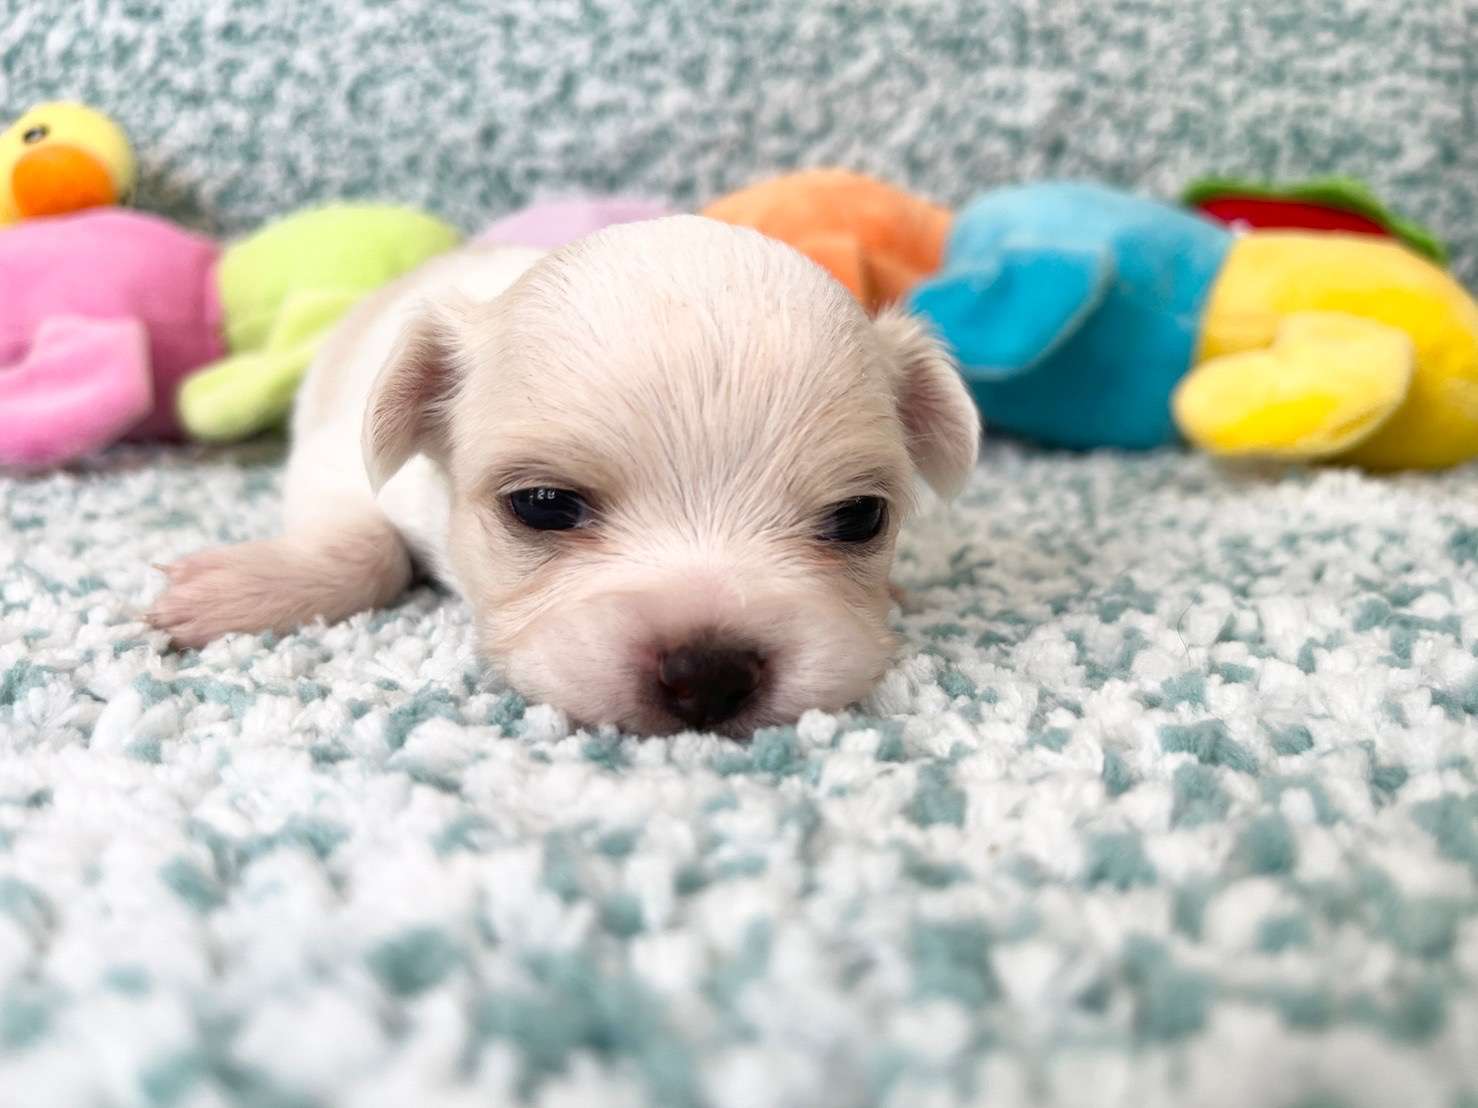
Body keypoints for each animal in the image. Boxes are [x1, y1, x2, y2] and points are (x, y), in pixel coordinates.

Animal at [150, 217, 981, 738]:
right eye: (543, 506)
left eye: (859, 517)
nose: (709, 673)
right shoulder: (332, 463)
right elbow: (366, 546)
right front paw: (229, 594)